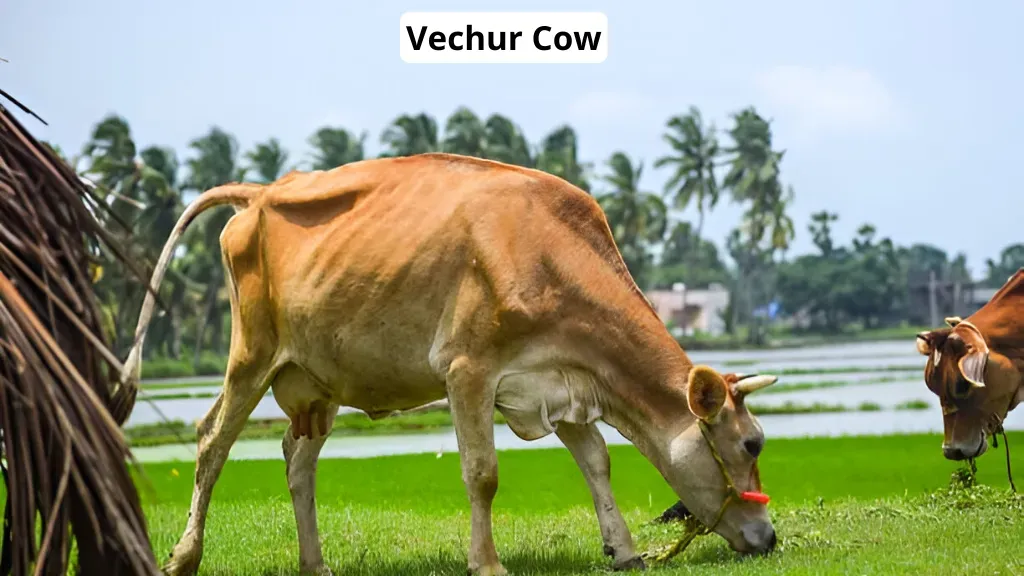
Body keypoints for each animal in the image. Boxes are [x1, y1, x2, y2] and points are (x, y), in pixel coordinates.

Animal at [119, 153, 780, 576]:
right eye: (751, 444)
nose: (770, 537)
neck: (547, 253)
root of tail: (261, 194)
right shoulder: (468, 369)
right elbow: (482, 474)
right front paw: (487, 563)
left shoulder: (562, 380)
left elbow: (597, 463)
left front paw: (625, 550)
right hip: (251, 353)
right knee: (212, 440)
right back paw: (183, 557)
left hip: (317, 380)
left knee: (296, 460)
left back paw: (315, 563)